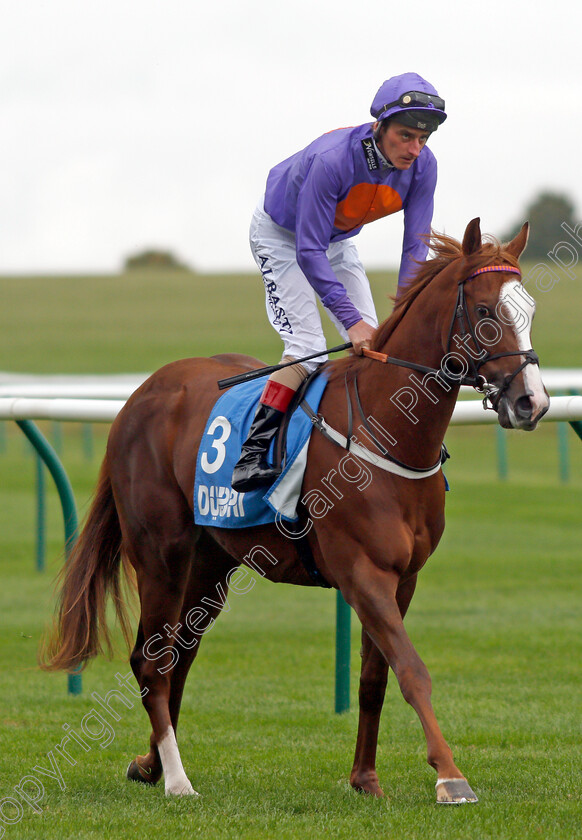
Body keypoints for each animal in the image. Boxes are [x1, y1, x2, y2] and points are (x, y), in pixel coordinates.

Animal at [42, 218, 552, 808]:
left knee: (177, 657)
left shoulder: (404, 579)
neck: (387, 433)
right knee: (151, 659)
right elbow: (412, 669)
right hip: (159, 555)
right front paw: (450, 776)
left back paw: (149, 764)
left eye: (529, 309)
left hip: (210, 564)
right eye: (487, 312)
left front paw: (365, 778)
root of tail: (140, 395)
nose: (532, 403)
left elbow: (375, 678)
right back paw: (176, 779)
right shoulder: (361, 573)